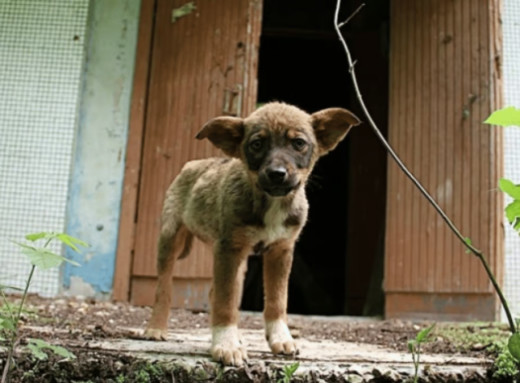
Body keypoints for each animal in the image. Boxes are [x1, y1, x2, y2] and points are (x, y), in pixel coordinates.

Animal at [144, 101, 360, 366]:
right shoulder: (229, 248)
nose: (277, 173)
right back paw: (156, 328)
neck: (271, 203)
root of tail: (191, 165)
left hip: (236, 262)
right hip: (171, 239)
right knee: (163, 288)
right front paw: (226, 345)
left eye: (298, 143)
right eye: (257, 144)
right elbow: (226, 302)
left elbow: (277, 300)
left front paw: (280, 338)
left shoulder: (281, 251)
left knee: (217, 292)